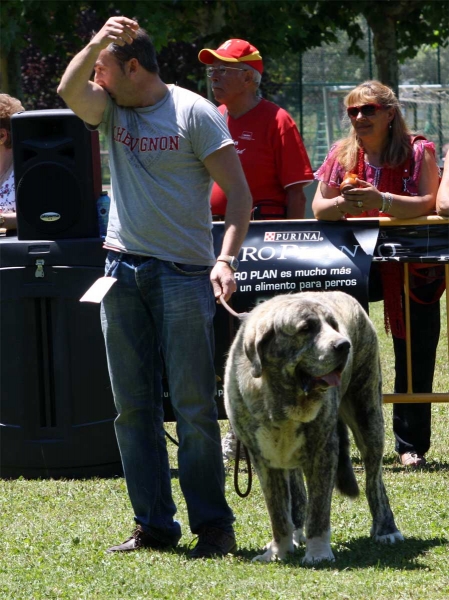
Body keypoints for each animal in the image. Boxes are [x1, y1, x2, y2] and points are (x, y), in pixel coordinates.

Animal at [224, 290, 402, 564]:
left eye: (333, 326)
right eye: (306, 328)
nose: (344, 345)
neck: (283, 398)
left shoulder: (322, 453)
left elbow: (318, 511)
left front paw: (318, 554)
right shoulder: (264, 458)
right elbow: (278, 512)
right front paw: (278, 551)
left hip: (368, 416)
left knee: (374, 479)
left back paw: (386, 529)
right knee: (296, 492)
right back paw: (297, 533)